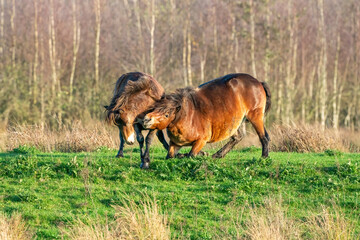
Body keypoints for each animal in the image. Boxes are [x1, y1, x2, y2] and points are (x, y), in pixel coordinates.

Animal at [142, 73, 272, 163]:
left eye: (166, 114)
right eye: (155, 108)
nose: (146, 119)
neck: (187, 114)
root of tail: (258, 82)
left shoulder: (201, 140)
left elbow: (191, 155)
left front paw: (202, 154)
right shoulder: (175, 144)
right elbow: (170, 156)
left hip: (255, 116)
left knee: (264, 137)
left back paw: (264, 157)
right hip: (236, 121)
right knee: (237, 137)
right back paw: (217, 155)